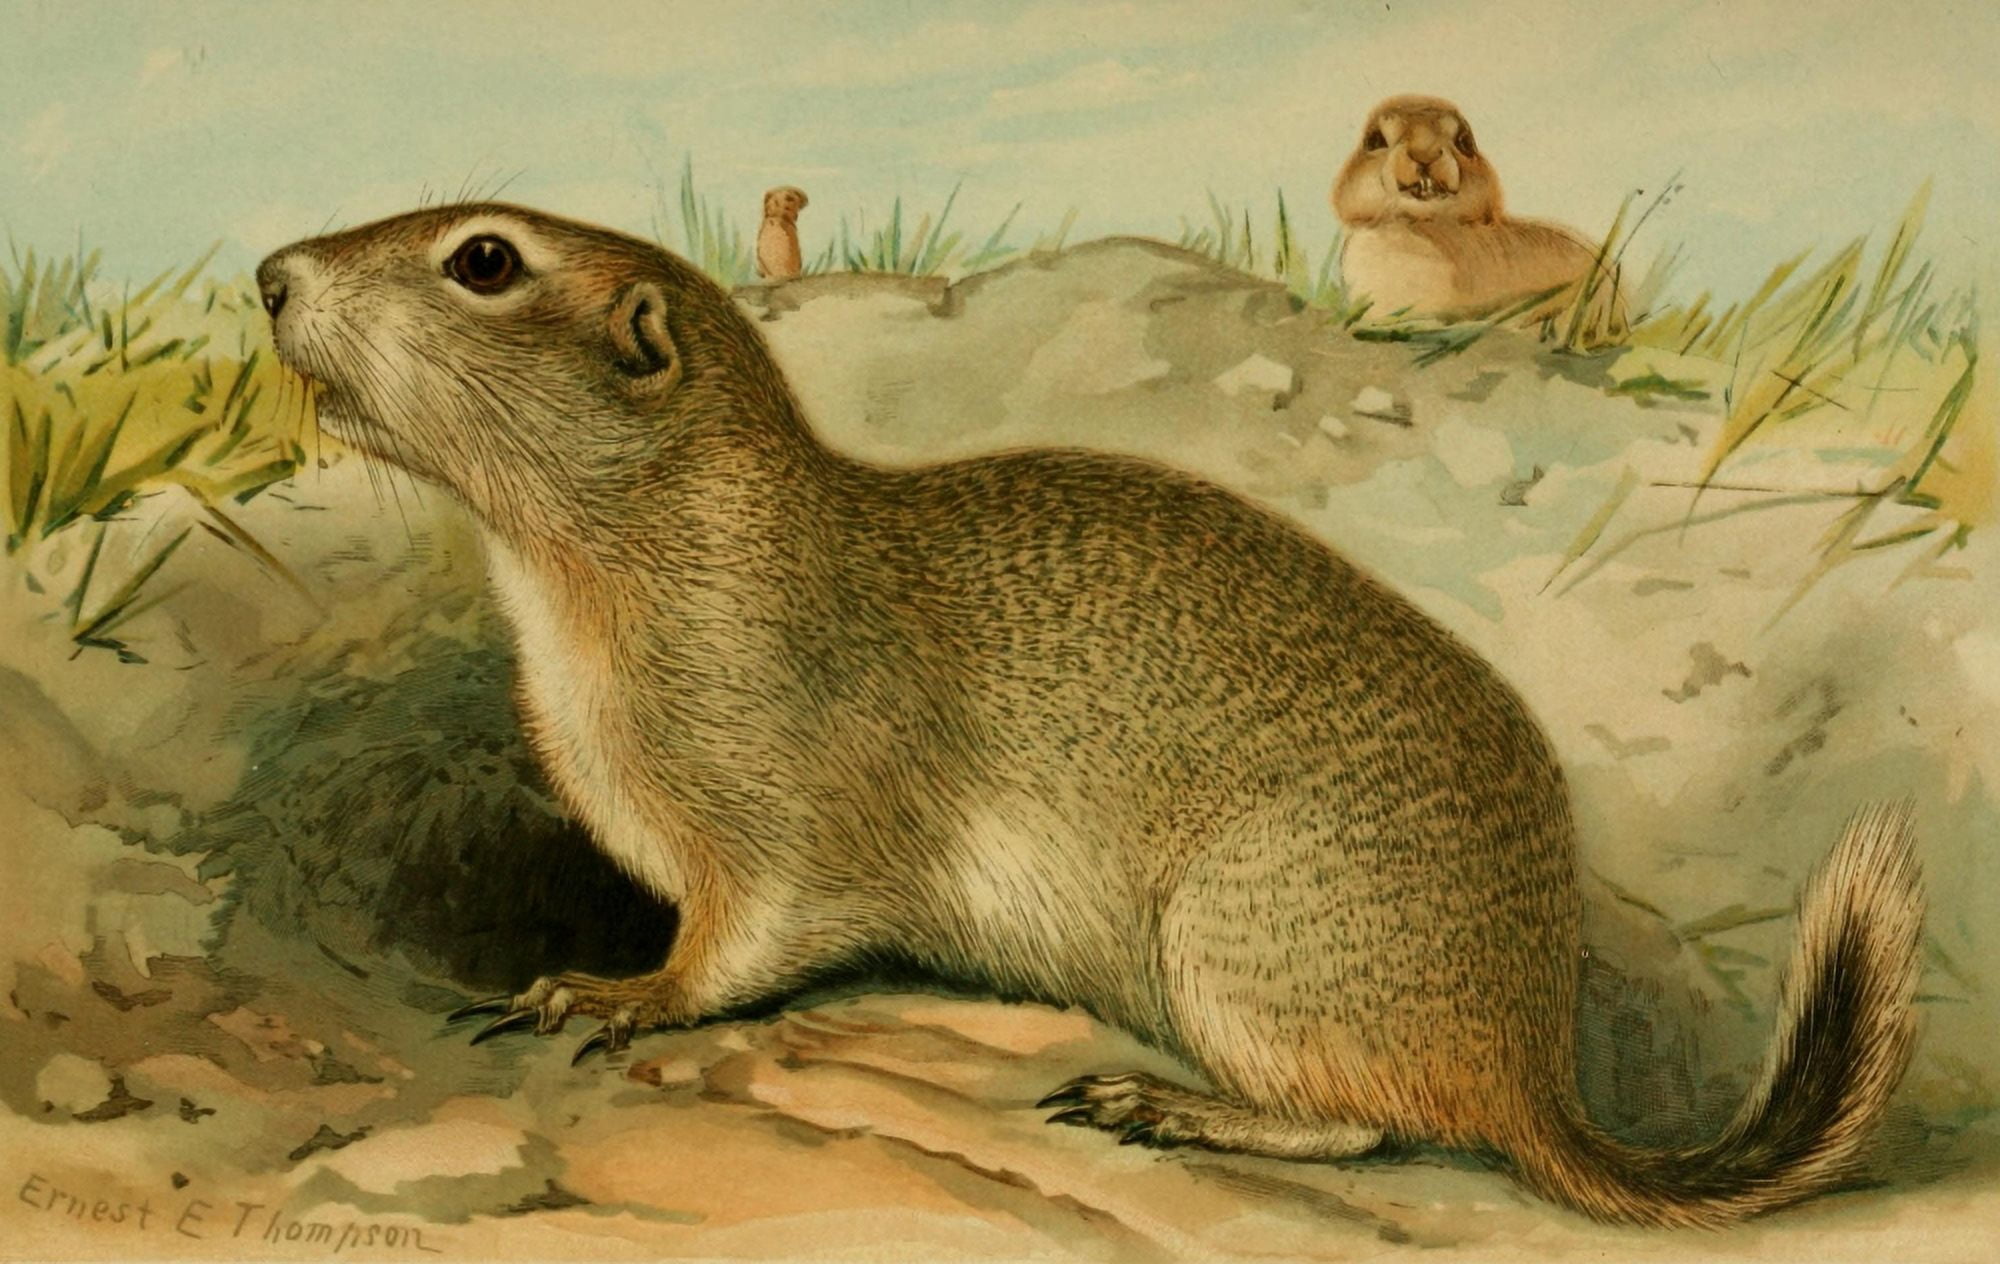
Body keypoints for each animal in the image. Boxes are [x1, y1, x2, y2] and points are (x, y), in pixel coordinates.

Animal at [256, 203, 1922, 1228]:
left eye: (484, 258)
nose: (268, 274)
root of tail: (1535, 1061)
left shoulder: (789, 807)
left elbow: (742, 940)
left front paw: (601, 992)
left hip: (1241, 941)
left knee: (1372, 1121)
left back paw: (1159, 1104)